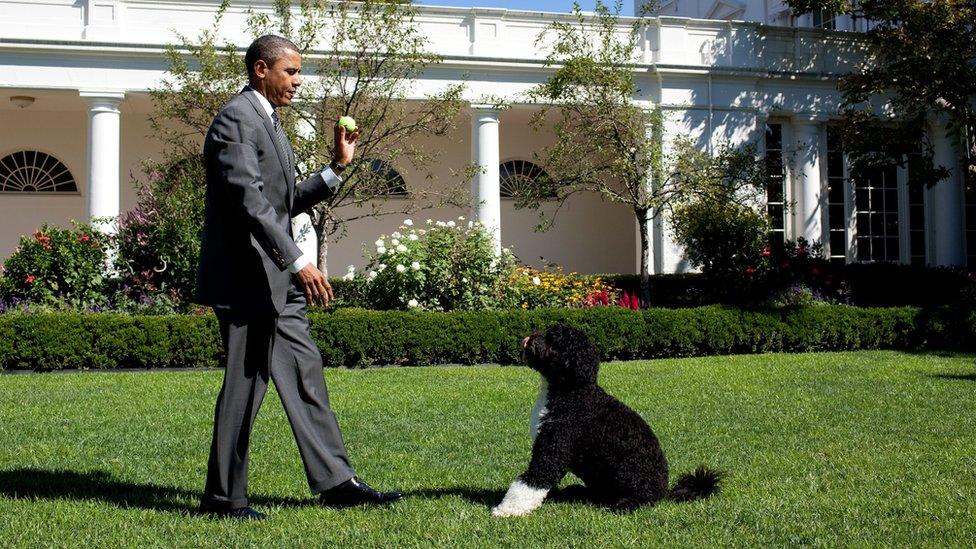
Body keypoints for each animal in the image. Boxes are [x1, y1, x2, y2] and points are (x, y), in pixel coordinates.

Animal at [492, 324, 720, 516]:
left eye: (553, 339)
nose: (530, 338)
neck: (573, 392)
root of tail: (664, 491)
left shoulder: (552, 450)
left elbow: (531, 482)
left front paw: (506, 510)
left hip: (631, 477)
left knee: (643, 500)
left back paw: (624, 504)